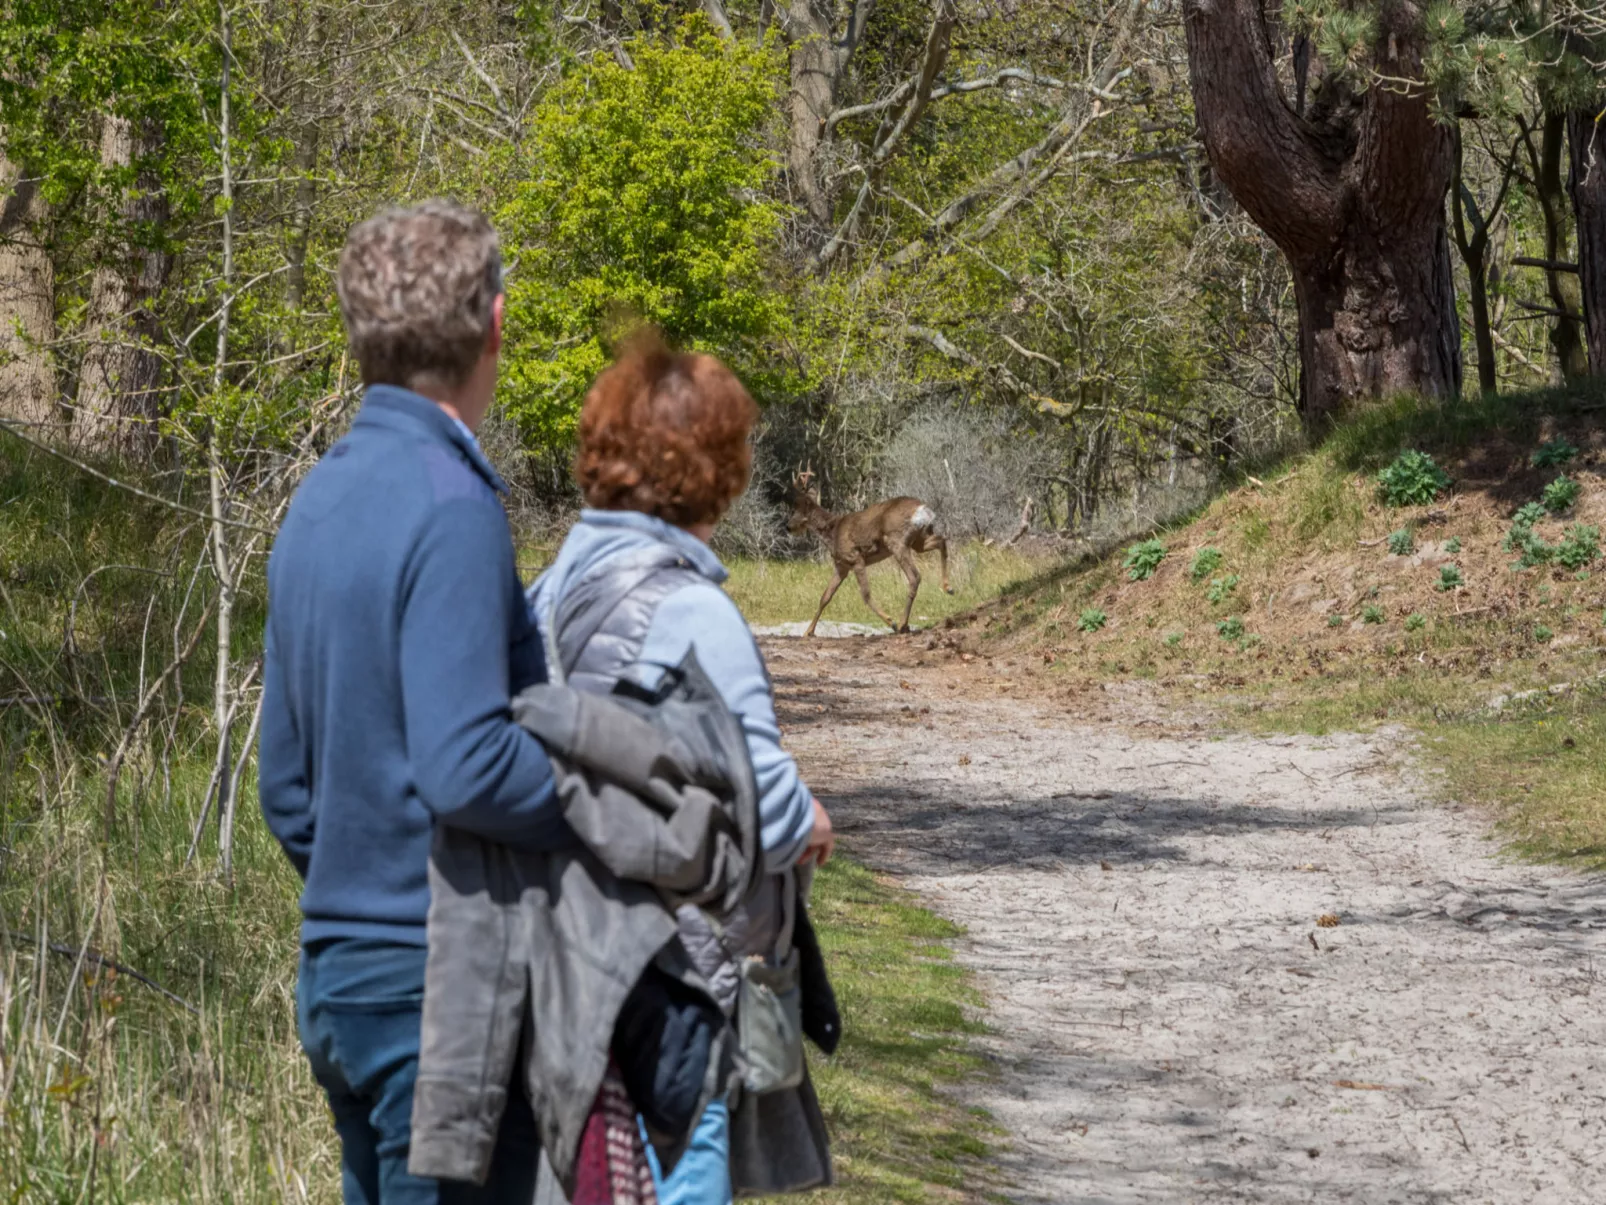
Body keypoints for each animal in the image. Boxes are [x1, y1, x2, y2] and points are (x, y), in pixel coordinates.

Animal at [783, 472, 944, 642]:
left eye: (796, 509)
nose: (788, 527)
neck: (833, 532)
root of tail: (924, 509)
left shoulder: (856, 558)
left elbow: (865, 594)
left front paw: (891, 622)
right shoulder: (841, 566)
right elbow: (825, 597)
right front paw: (808, 631)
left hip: (898, 542)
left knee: (914, 576)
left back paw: (902, 624)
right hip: (919, 541)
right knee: (941, 542)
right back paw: (946, 588)